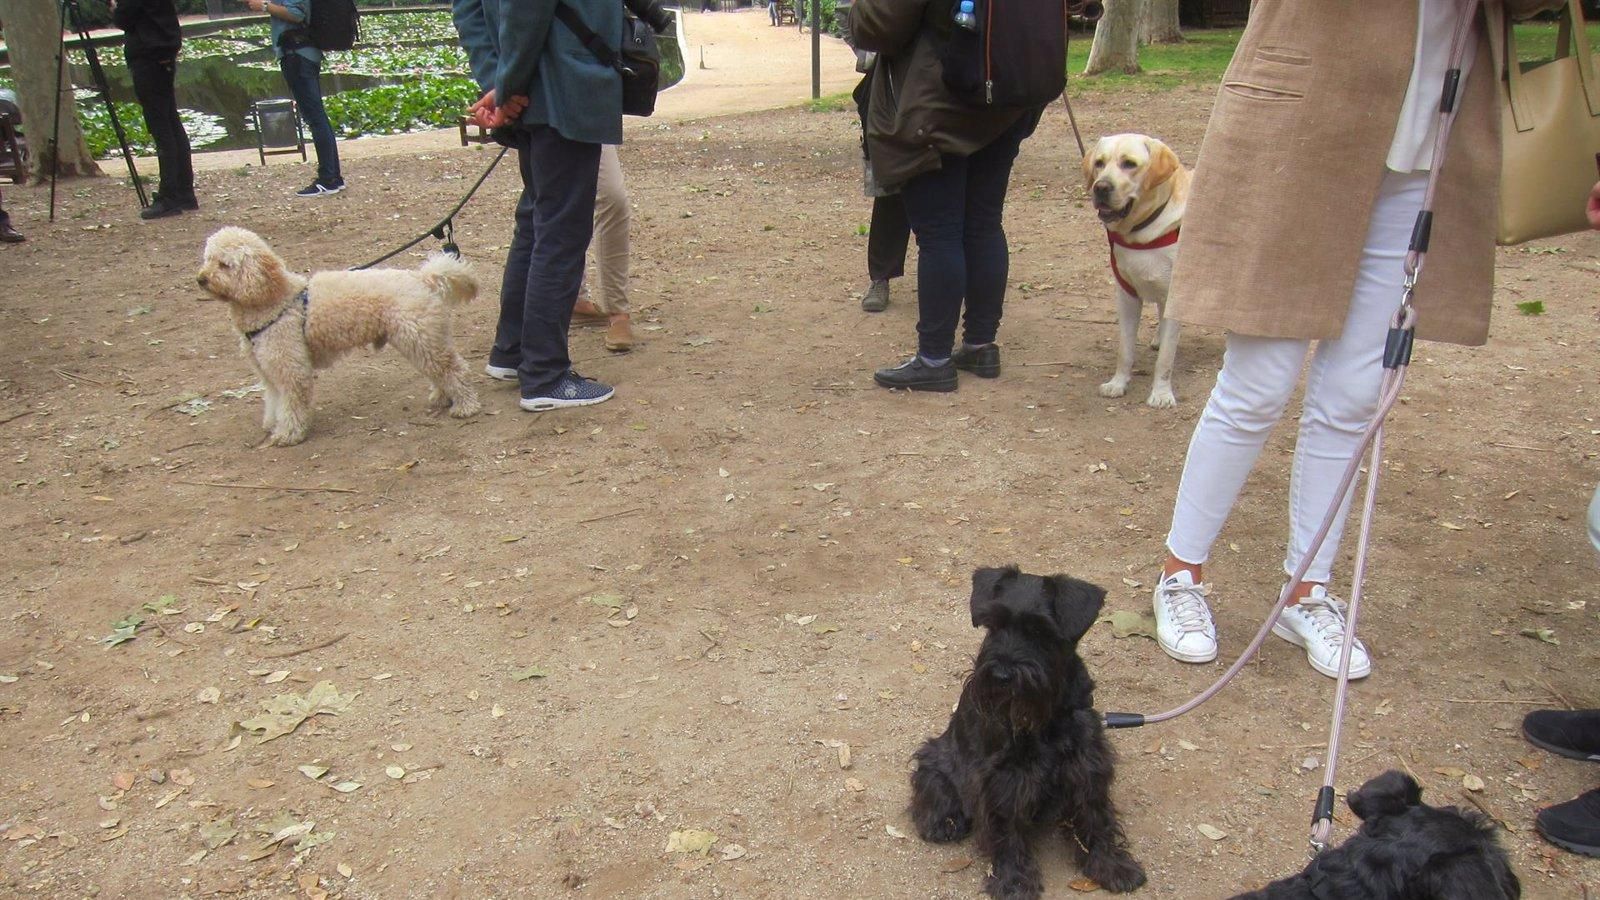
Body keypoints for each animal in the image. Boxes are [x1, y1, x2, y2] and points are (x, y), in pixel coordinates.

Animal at [196, 227, 480, 445]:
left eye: (224, 265)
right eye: (207, 259)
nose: (201, 279)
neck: (275, 300)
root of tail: (422, 278)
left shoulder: (290, 368)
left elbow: (292, 404)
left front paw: (288, 434)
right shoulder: (268, 371)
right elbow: (274, 401)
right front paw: (272, 424)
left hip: (420, 338)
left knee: (455, 370)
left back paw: (466, 405)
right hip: (421, 340)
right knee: (440, 370)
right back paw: (443, 397)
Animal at [908, 563, 1145, 890]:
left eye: (1041, 631)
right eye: (993, 626)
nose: (1001, 675)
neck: (1048, 718)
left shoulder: (1088, 765)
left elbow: (1095, 816)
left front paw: (1111, 864)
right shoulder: (1005, 777)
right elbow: (1007, 828)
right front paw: (1014, 881)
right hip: (935, 761)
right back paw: (943, 822)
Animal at [1088, 132, 1190, 406]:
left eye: (1129, 164)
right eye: (1099, 163)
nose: (1100, 187)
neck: (1142, 233)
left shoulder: (1174, 295)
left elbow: (1165, 359)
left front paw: (1161, 394)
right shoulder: (1127, 295)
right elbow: (1125, 350)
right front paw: (1118, 383)